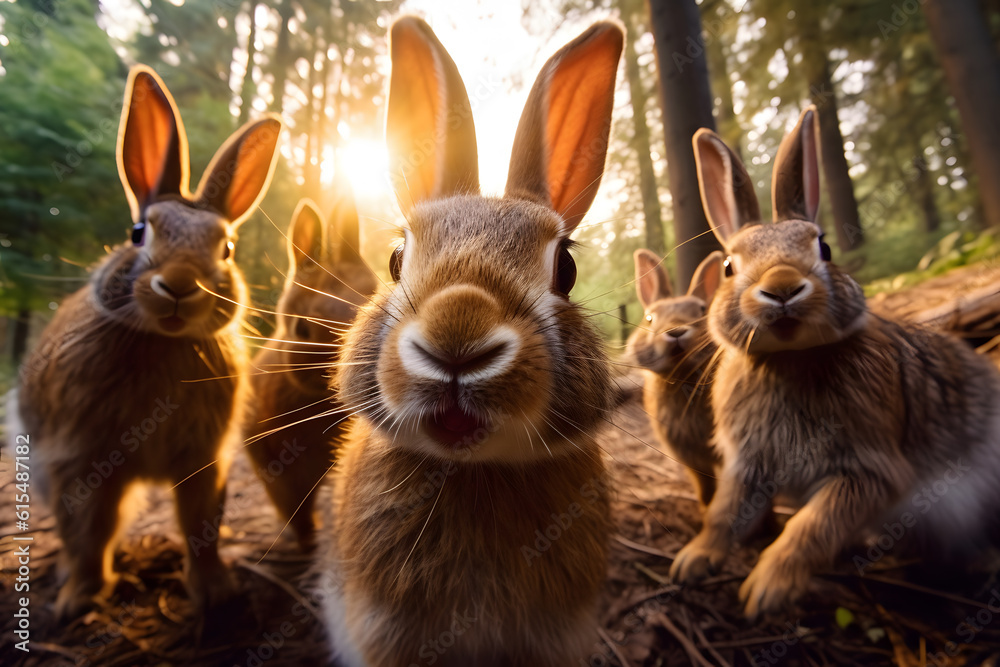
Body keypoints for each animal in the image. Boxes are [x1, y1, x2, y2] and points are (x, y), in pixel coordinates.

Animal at [16, 65, 281, 619]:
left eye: (226, 248)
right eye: (138, 232)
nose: (178, 285)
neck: (164, 341)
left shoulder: (205, 459)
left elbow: (201, 525)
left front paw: (216, 593)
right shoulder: (80, 457)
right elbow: (88, 532)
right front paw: (78, 599)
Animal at [627, 249, 724, 509]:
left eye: (702, 311)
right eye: (650, 318)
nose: (676, 331)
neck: (682, 376)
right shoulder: (692, 460)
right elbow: (706, 492)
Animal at [669, 105, 1000, 619]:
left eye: (823, 248)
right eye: (728, 267)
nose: (782, 287)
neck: (789, 359)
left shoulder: (869, 470)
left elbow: (813, 525)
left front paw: (766, 590)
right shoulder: (746, 464)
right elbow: (725, 513)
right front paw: (692, 561)